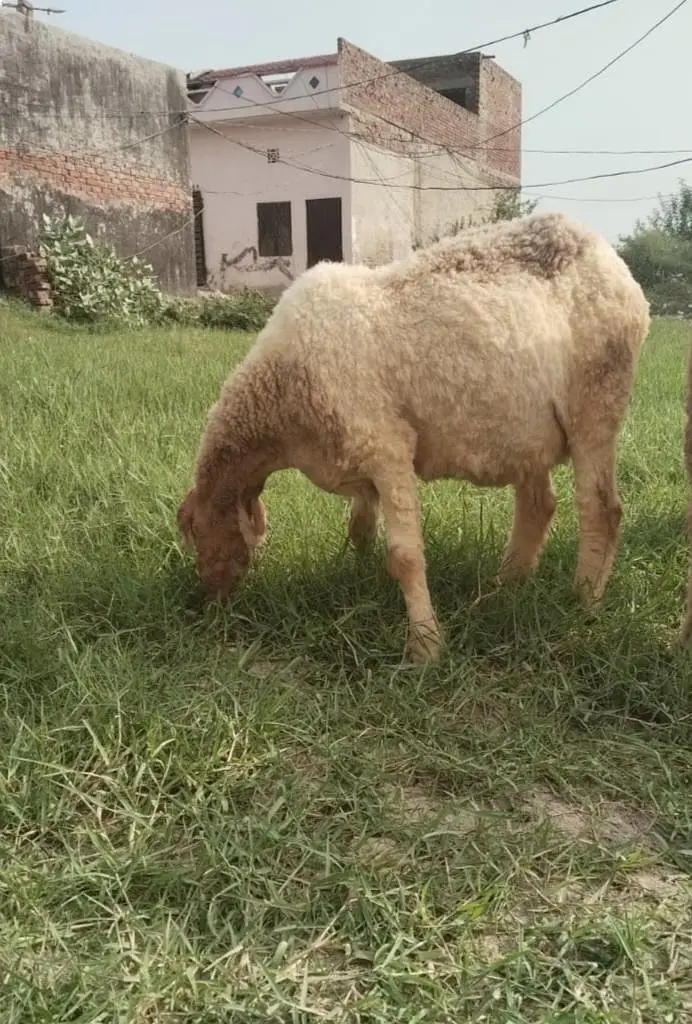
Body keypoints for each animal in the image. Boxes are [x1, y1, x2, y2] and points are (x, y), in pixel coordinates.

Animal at [178, 210, 650, 663]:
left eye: (196, 530)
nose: (209, 602)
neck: (283, 394)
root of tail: (602, 250)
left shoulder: (387, 448)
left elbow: (404, 556)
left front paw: (425, 646)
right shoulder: (359, 460)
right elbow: (361, 530)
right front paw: (361, 580)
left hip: (596, 399)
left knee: (602, 510)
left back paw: (583, 604)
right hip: (525, 427)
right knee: (539, 506)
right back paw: (503, 589)